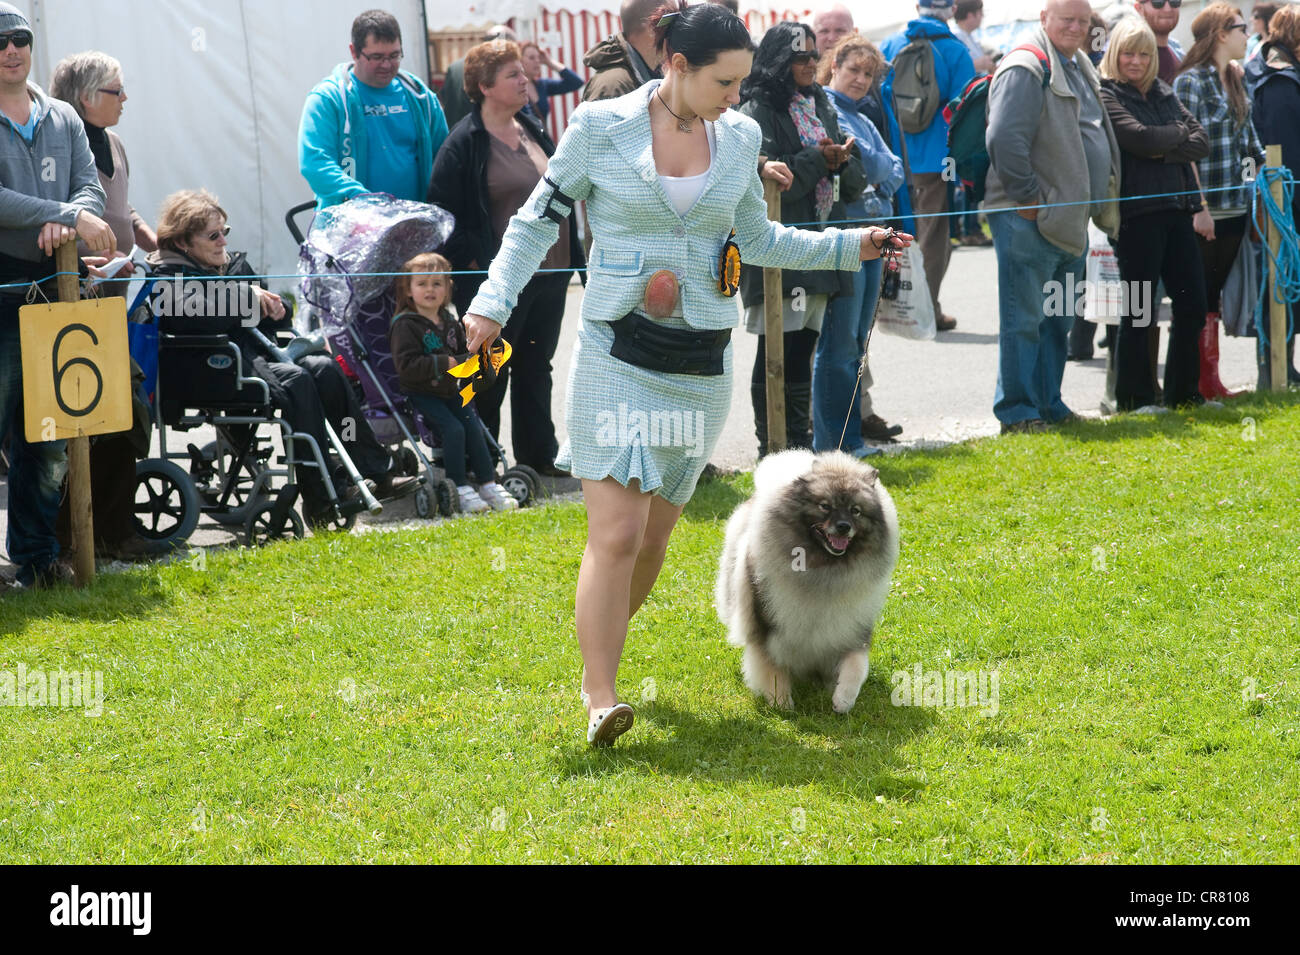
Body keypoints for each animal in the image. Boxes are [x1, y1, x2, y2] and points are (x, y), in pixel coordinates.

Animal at [717, 446, 899, 712]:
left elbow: (856, 666)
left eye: (855, 511)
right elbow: (772, 667)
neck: (822, 572)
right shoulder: (766, 626)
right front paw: (781, 702)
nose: (843, 526)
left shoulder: (852, 630)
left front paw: (843, 699)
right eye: (825, 506)